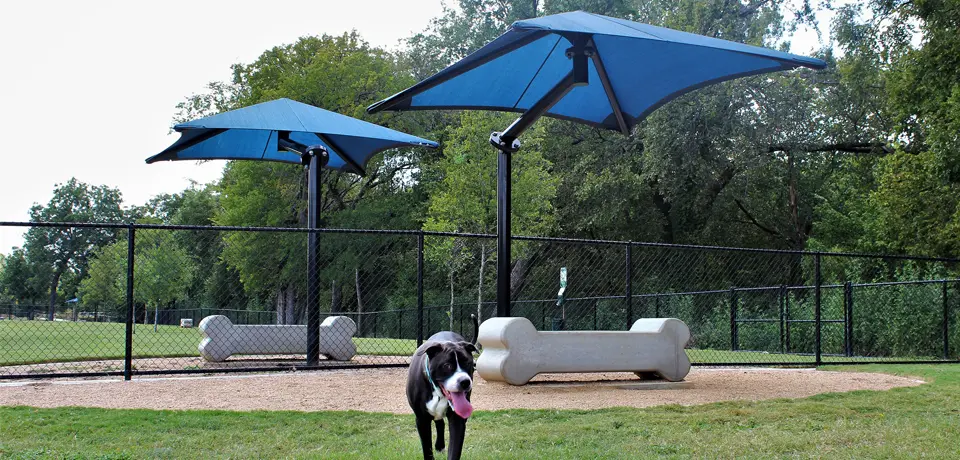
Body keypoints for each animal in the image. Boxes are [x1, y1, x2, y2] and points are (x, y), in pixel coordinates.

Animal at [406, 316, 478, 460]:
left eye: (468, 363)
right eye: (447, 365)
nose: (465, 382)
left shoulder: (457, 419)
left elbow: (454, 449)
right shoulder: (421, 419)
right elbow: (427, 449)